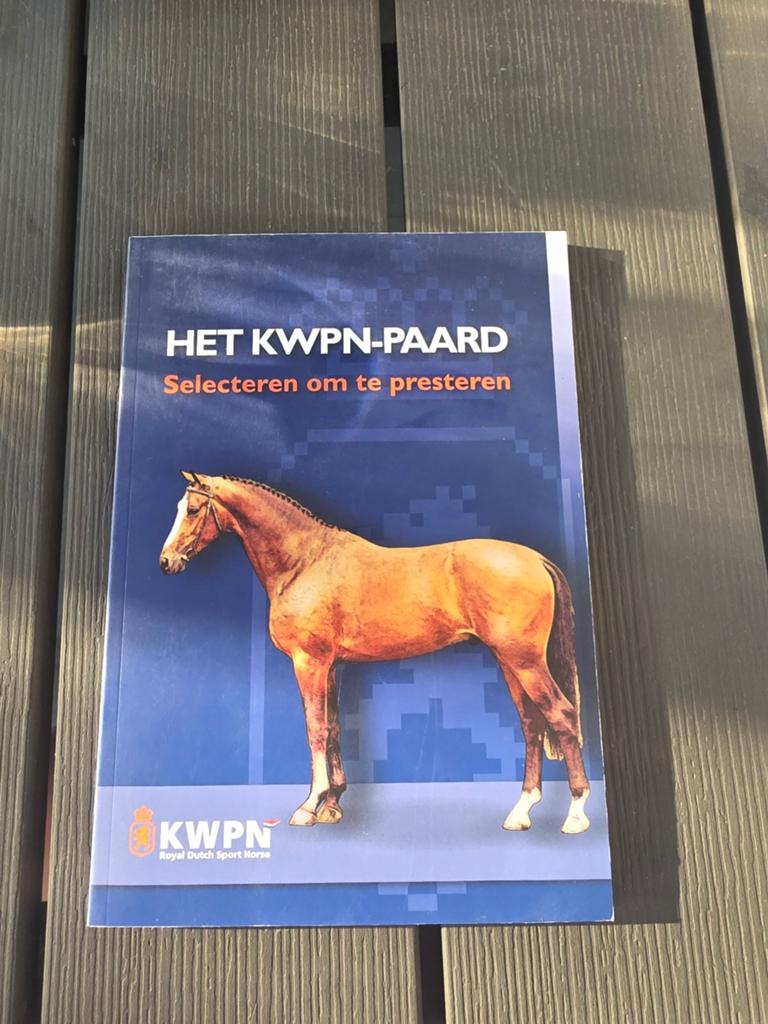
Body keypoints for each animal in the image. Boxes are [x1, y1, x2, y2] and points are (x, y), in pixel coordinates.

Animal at [159, 471, 591, 834]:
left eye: (193, 509)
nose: (166, 562)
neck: (305, 562)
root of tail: (535, 559)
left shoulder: (309, 662)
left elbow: (315, 729)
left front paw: (309, 806)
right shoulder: (331, 666)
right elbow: (333, 728)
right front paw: (333, 805)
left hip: (525, 662)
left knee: (563, 716)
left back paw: (575, 814)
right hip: (510, 662)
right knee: (532, 724)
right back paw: (521, 812)